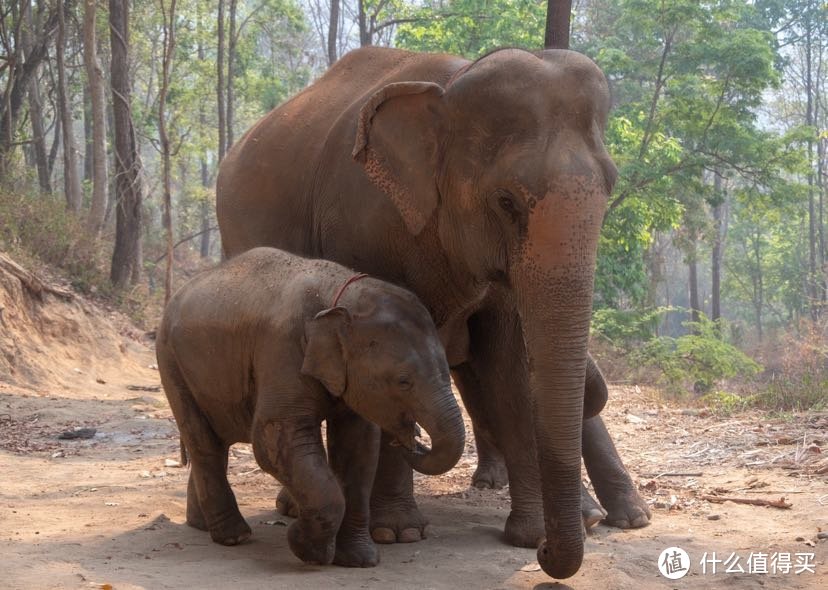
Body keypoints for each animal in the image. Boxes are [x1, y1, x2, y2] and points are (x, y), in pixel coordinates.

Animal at [157, 246, 466, 568]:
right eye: (403, 381)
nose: (412, 437)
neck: (341, 295)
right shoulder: (282, 350)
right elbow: (273, 440)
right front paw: (307, 548)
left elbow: (359, 448)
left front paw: (359, 559)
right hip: (170, 362)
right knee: (204, 444)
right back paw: (234, 536)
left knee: (215, 442)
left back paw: (201, 525)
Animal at [217, 47, 652, 584]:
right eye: (506, 200)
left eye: (610, 188)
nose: (549, 554)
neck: (454, 82)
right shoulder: (365, 225)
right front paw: (398, 532)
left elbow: (509, 369)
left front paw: (528, 535)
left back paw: (620, 518)